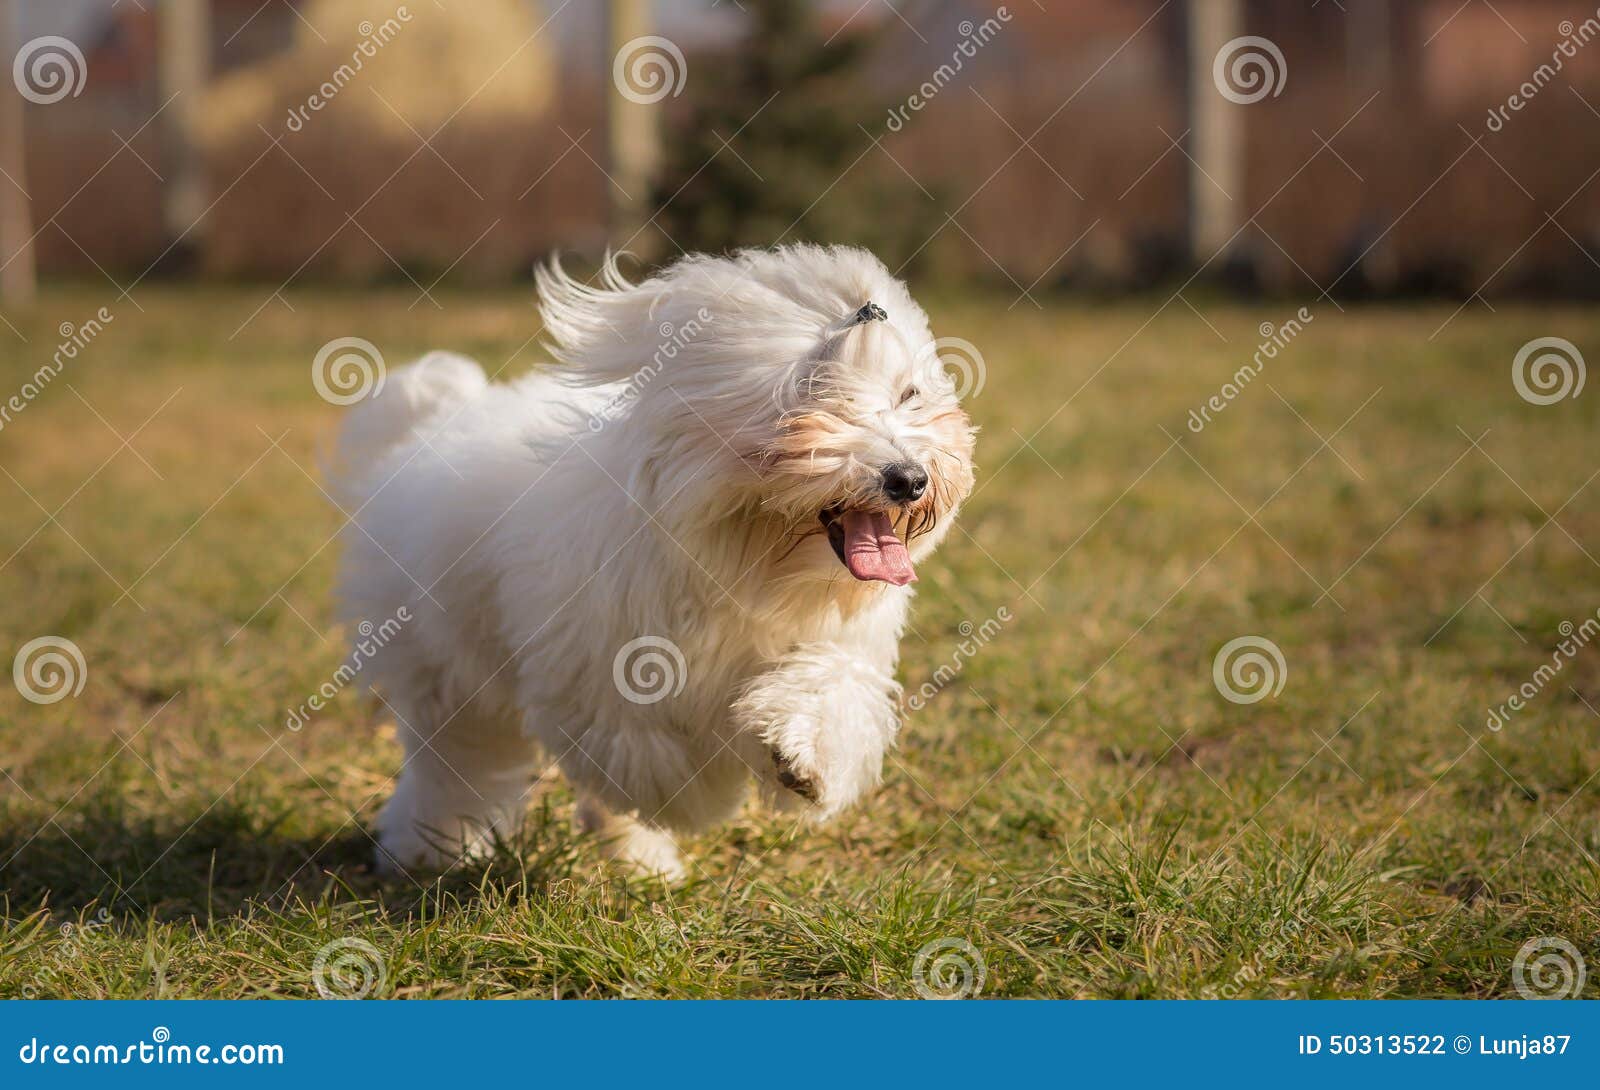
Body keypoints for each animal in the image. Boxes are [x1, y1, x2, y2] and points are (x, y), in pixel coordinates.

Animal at [331, 244, 972, 877]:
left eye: (909, 396)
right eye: (817, 393)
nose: (909, 478)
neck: (745, 560)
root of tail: (435, 419)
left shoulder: (834, 644)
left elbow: (828, 692)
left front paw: (799, 757)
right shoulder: (598, 672)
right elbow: (648, 759)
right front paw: (703, 795)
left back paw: (635, 860)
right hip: (443, 663)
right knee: (455, 763)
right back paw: (427, 849)